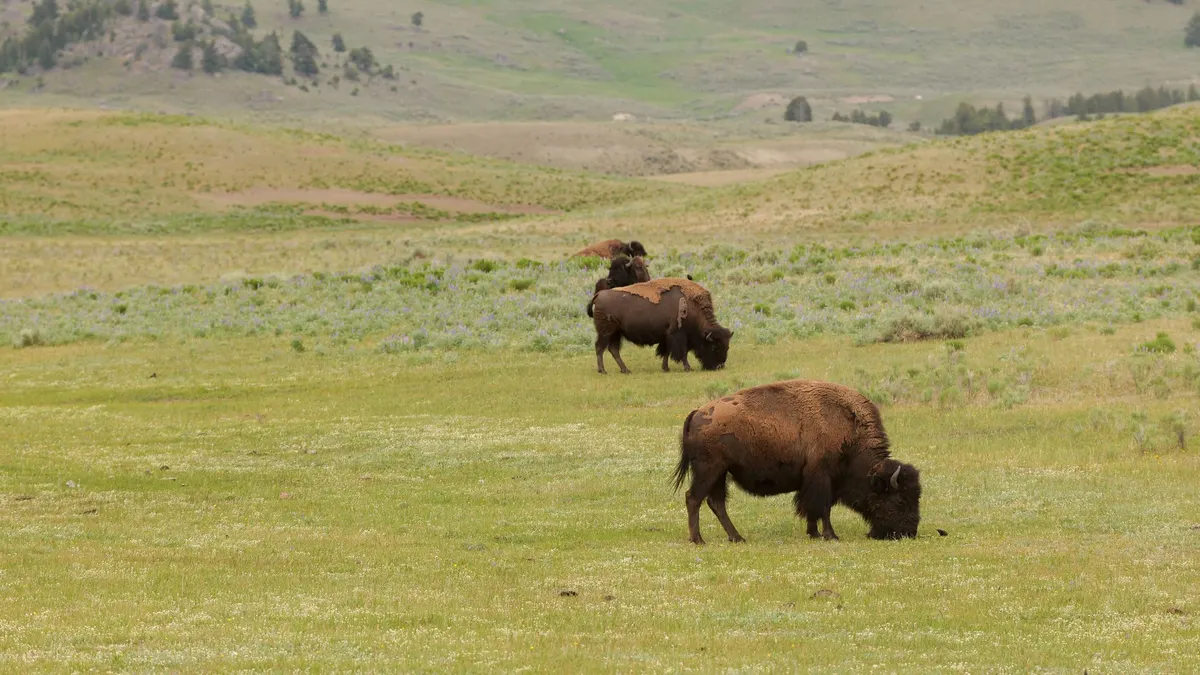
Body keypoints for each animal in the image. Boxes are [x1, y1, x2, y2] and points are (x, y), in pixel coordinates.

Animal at [588, 278, 733, 374]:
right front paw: (688, 368)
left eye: (727, 347)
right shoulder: (678, 335)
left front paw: (666, 368)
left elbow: (666, 352)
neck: (692, 306)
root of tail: (599, 294)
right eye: (714, 347)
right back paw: (603, 370)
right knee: (600, 348)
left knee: (613, 350)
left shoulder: (667, 336)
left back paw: (625, 370)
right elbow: (682, 352)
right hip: (606, 332)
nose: (719, 366)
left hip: (616, 333)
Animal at [672, 379, 923, 544]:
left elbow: (813, 507)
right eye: (900, 500)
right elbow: (823, 507)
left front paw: (813, 533)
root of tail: (697, 412)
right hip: (709, 470)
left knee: (716, 503)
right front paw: (830, 535)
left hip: (720, 473)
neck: (850, 428)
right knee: (694, 498)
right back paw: (698, 539)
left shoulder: (815, 481)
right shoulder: (822, 477)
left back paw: (737, 537)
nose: (909, 532)